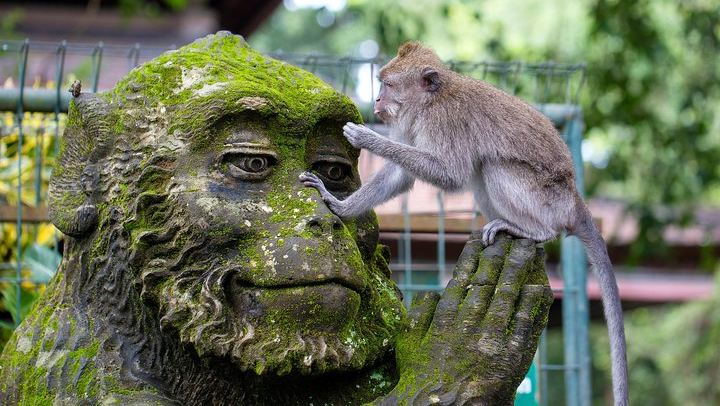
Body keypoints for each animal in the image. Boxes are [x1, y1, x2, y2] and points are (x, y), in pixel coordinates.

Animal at [299, 42, 628, 406]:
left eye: (388, 84)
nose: (378, 100)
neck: (431, 101)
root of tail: (573, 197)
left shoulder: (443, 121)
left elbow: (449, 174)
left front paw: (368, 138)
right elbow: (403, 175)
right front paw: (340, 206)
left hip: (546, 199)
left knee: (493, 168)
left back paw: (533, 230)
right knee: (481, 171)